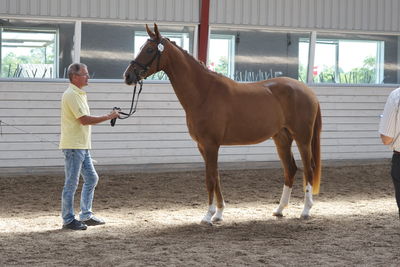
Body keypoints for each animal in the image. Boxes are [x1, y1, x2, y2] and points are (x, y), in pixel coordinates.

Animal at [123, 25, 320, 226]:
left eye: (149, 50)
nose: (128, 75)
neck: (204, 92)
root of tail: (308, 91)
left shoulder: (211, 145)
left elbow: (210, 179)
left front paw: (208, 216)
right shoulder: (202, 146)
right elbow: (215, 176)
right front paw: (218, 213)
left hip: (303, 138)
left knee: (309, 169)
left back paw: (306, 210)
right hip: (281, 138)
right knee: (290, 169)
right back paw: (279, 209)